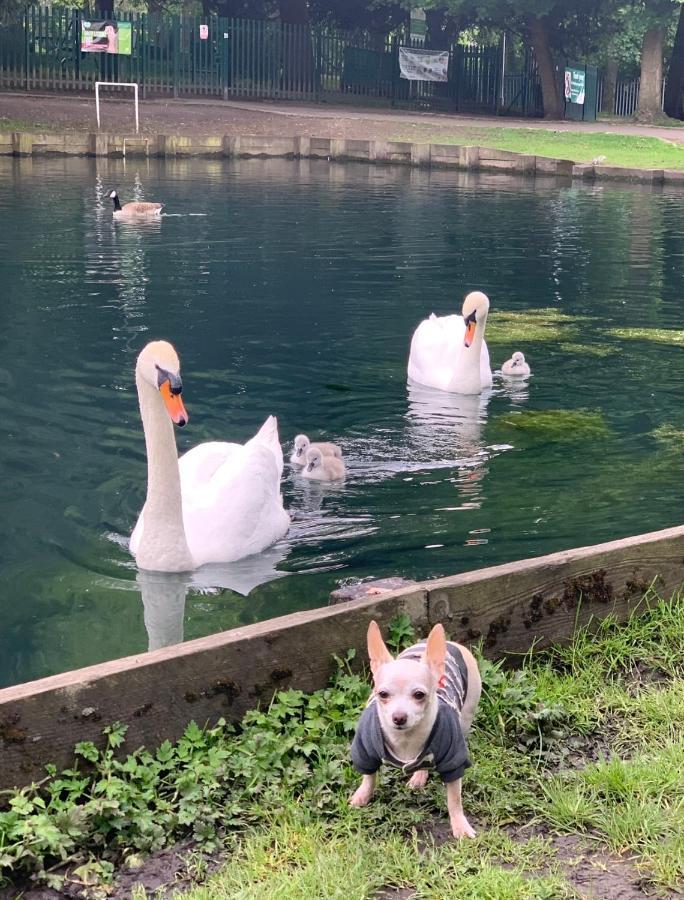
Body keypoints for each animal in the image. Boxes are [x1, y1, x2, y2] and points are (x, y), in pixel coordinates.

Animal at [350, 620, 484, 836]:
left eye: (419, 695)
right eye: (382, 694)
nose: (399, 717)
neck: (406, 740)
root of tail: (453, 643)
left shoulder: (453, 762)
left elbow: (454, 798)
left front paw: (460, 825)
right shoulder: (365, 751)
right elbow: (369, 776)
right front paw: (362, 796)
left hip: (466, 714)